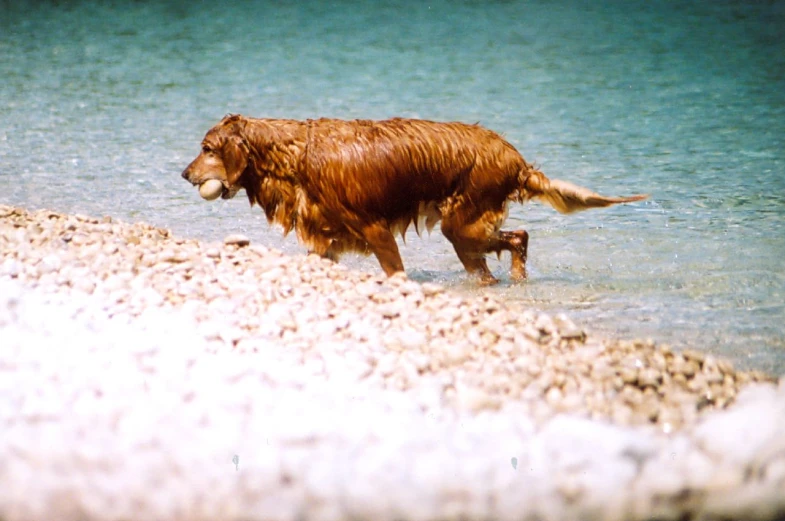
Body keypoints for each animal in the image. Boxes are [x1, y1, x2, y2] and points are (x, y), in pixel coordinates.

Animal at [181, 115, 648, 284]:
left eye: (207, 149)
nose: (184, 174)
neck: (297, 156)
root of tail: (514, 157)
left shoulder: (374, 229)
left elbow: (394, 270)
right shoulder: (326, 239)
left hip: (461, 222)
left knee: (517, 238)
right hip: (465, 230)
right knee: (506, 247)